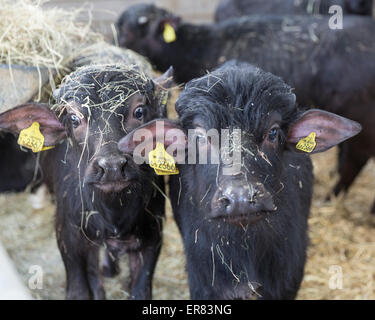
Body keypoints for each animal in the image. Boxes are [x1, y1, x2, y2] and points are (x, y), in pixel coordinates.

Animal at [0, 65, 173, 300]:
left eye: (138, 112)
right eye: (74, 119)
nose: (111, 167)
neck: (113, 213)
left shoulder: (152, 237)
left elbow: (140, 290)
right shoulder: (69, 237)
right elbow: (80, 290)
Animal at [119, 62, 362, 298]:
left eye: (273, 133)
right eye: (200, 137)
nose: (240, 198)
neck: (244, 250)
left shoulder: (287, 280)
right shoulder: (203, 283)